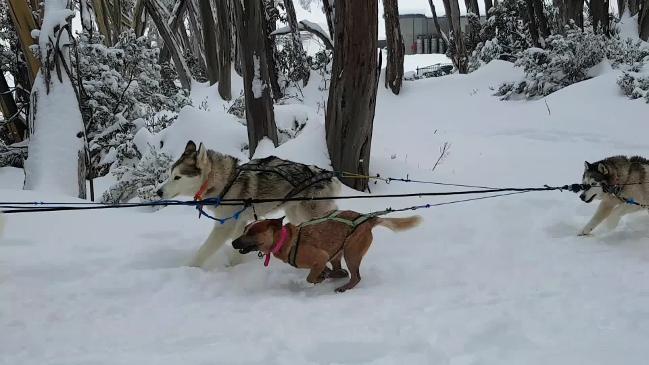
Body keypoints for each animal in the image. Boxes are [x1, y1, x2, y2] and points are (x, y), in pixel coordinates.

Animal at [232, 210, 420, 290]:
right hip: (338, 252)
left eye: (252, 232)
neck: (286, 240)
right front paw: (324, 275)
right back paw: (335, 274)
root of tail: (368, 220)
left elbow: (310, 278)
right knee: (341, 270)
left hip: (351, 252)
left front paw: (318, 278)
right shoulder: (323, 259)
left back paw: (344, 286)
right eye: (244, 229)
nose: (233, 243)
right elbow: (320, 272)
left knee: (355, 276)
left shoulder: (320, 257)